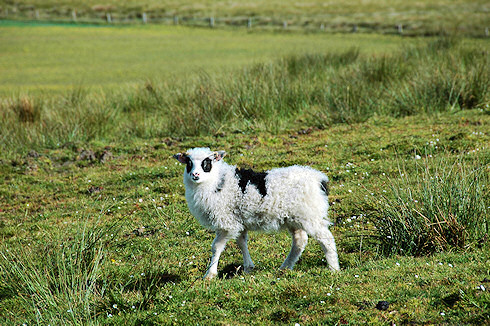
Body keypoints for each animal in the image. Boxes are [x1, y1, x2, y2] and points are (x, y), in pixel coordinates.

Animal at [174, 148, 338, 280]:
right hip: (294, 218)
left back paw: (333, 269)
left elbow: (216, 247)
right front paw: (248, 268)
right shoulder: (238, 221)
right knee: (300, 241)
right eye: (188, 163)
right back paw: (285, 267)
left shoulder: (226, 222)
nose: (195, 174)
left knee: (326, 239)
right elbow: (241, 243)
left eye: (207, 162)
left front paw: (210, 275)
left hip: (310, 215)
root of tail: (320, 179)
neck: (215, 182)